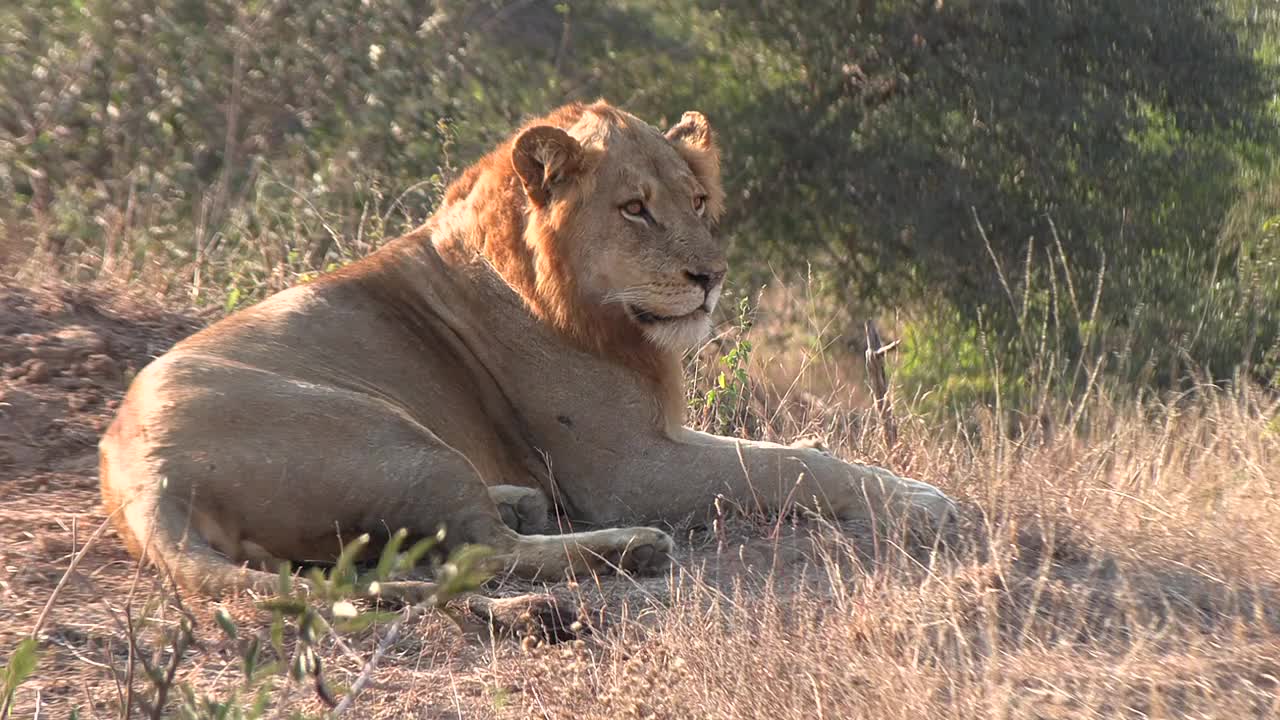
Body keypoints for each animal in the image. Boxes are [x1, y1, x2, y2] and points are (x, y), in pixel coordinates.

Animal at [99, 101, 957, 627]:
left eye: (697, 202)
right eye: (634, 209)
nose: (711, 276)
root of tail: (142, 481)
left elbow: (793, 450)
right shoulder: (626, 469)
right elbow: (791, 468)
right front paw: (921, 499)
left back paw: (520, 502)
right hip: (389, 434)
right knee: (481, 554)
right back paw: (631, 547)